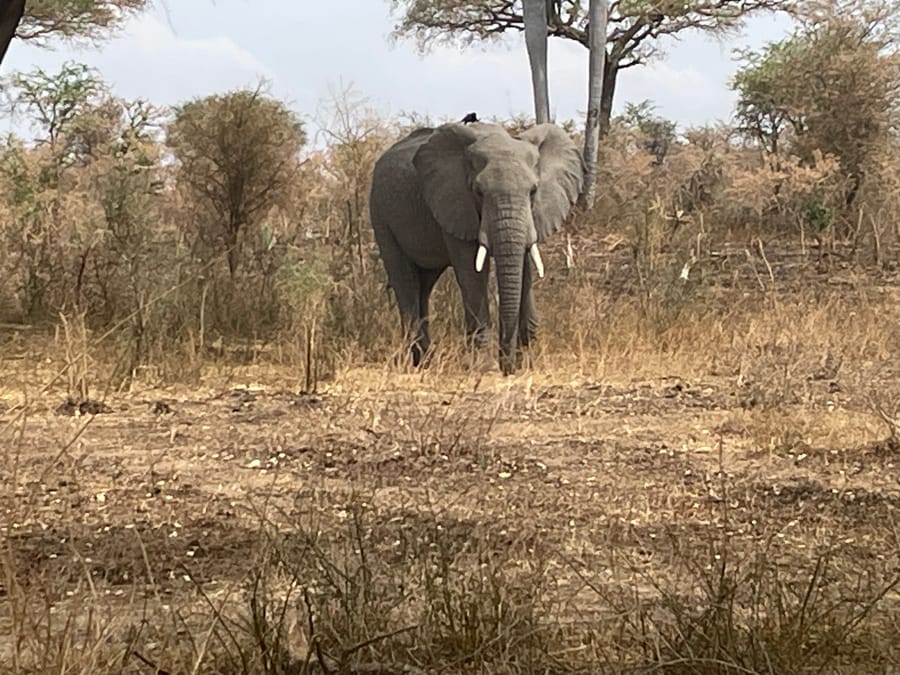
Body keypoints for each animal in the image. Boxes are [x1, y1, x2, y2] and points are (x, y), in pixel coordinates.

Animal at [369, 120, 584, 374]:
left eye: (533, 191)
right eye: (479, 192)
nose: (508, 367)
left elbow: (525, 268)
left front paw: (528, 366)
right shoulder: (456, 202)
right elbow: (472, 274)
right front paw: (484, 369)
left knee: (424, 284)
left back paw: (426, 363)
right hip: (381, 215)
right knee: (405, 279)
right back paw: (418, 365)